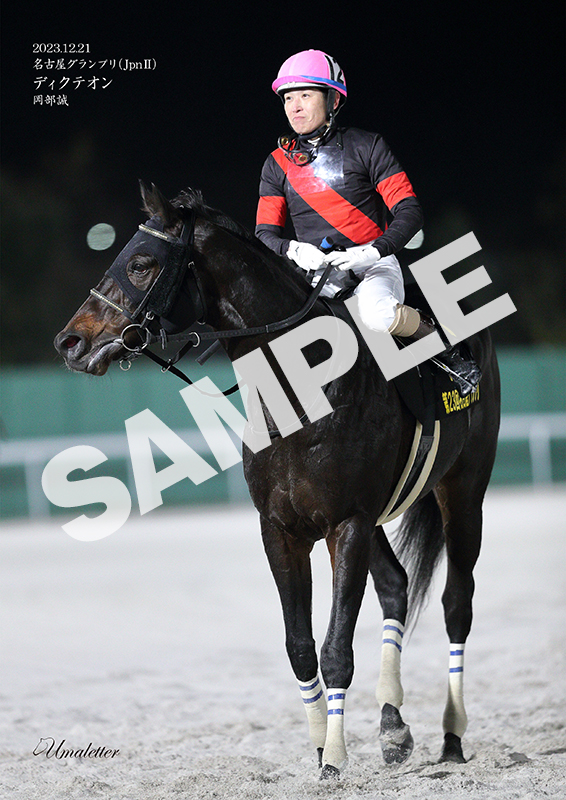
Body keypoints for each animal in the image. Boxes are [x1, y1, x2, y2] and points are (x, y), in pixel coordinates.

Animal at [54, 183, 501, 779]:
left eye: (142, 263)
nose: (69, 342)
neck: (302, 392)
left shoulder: (346, 524)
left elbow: (336, 649)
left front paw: (334, 759)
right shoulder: (282, 529)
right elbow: (299, 646)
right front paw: (320, 748)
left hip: (463, 489)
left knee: (457, 602)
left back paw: (451, 736)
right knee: (396, 587)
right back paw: (392, 726)